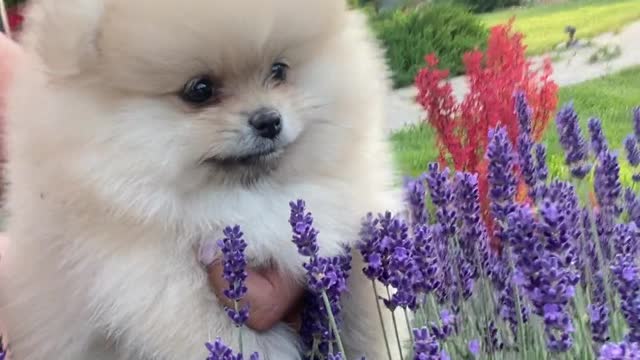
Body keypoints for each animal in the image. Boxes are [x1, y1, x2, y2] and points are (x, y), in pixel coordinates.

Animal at [0, 0, 400, 360]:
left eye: (279, 70)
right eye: (200, 90)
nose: (269, 120)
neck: (249, 195)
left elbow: (368, 306)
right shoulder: (160, 292)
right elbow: (239, 341)